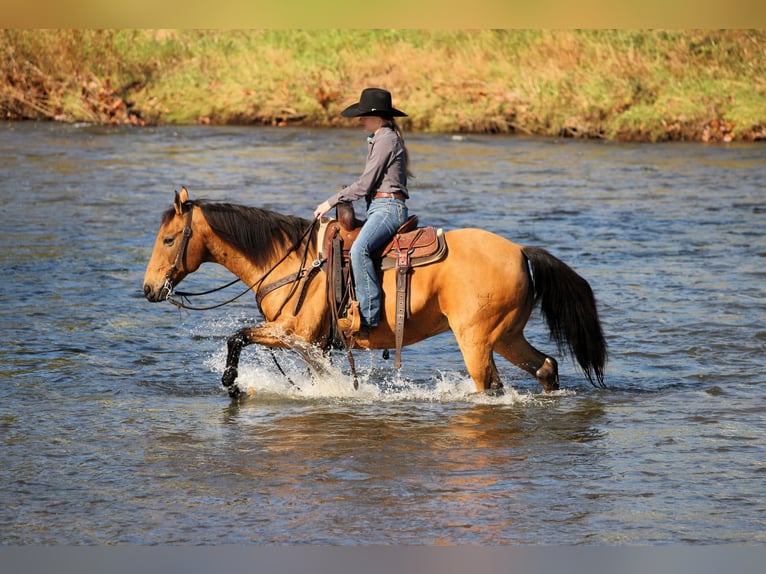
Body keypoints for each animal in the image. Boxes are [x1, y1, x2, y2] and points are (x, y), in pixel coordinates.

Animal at [143, 187, 607, 398]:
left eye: (168, 239)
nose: (149, 289)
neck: (292, 263)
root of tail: (520, 251)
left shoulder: (295, 335)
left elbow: (235, 337)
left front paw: (234, 384)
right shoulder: (314, 346)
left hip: (476, 339)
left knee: (489, 385)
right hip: (507, 335)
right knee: (545, 366)